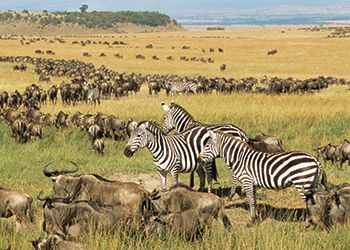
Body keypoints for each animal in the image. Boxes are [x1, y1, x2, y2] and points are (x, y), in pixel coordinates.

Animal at [198, 131, 326, 225]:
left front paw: (251, 221)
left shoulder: (247, 180)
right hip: (312, 183)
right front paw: (256, 217)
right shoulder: (253, 183)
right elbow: (254, 200)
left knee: (309, 203)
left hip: (302, 183)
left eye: (207, 146)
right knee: (315, 202)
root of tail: (315, 159)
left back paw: (308, 222)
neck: (239, 158)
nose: (198, 159)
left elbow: (250, 200)